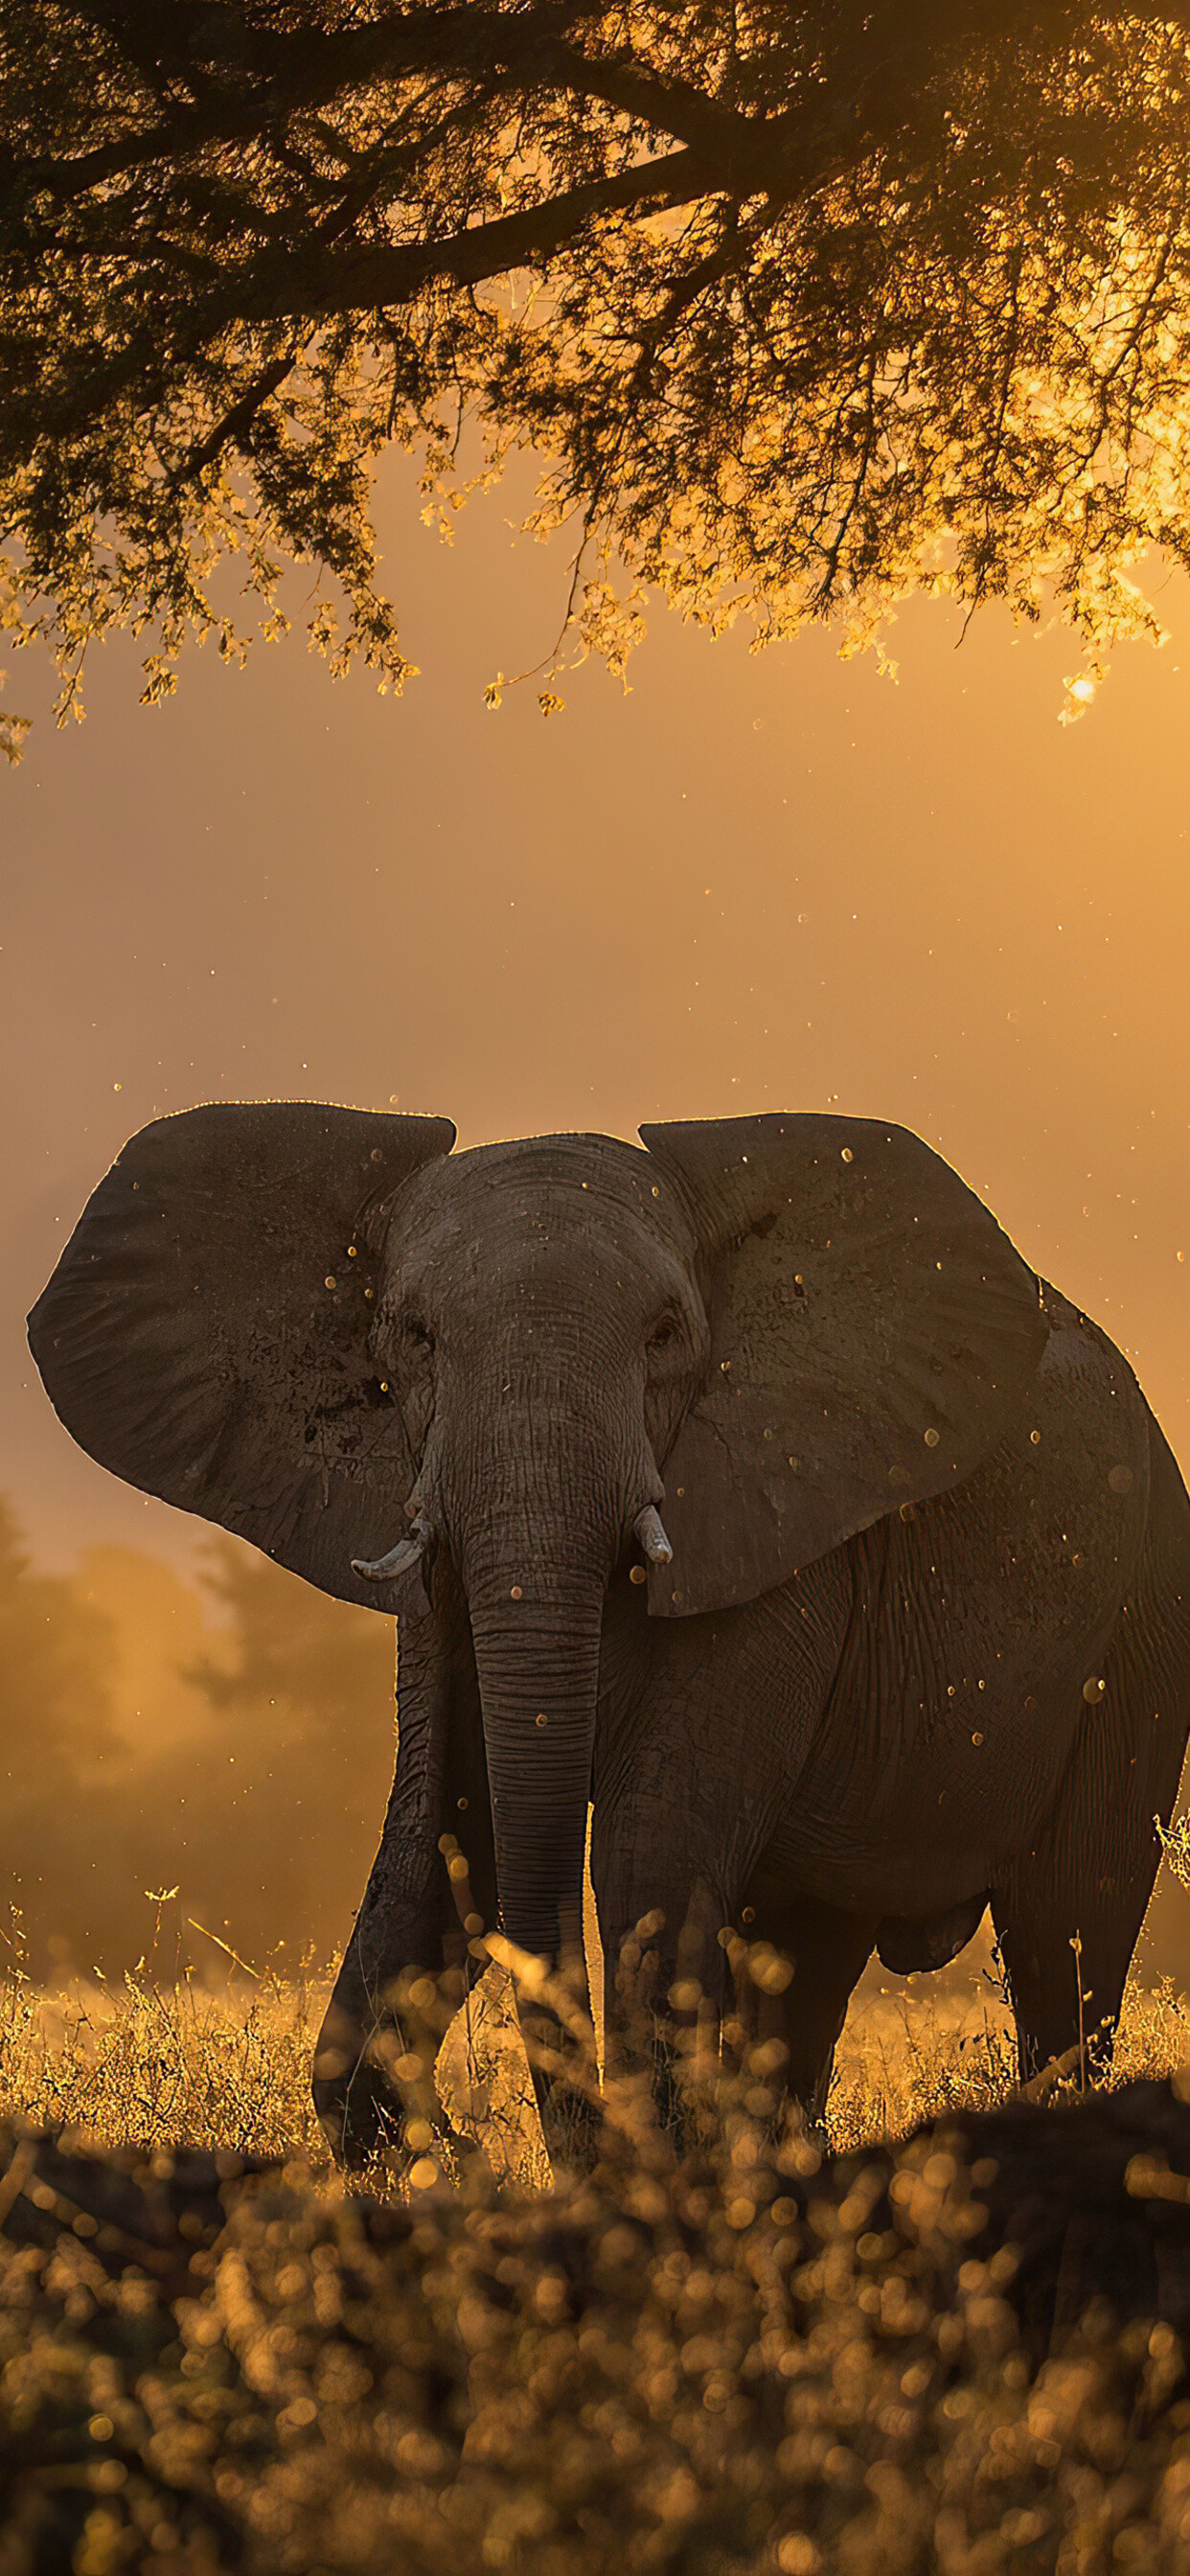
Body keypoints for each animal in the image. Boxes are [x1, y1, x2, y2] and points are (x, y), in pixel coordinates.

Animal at [25, 1097, 1190, 2163]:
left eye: (667, 1336)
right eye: (413, 1337)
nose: (458, 2137)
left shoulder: (775, 1530)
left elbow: (647, 1848)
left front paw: (643, 2160)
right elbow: (444, 1823)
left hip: (1142, 1618)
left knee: (1066, 1942)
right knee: (811, 1951)